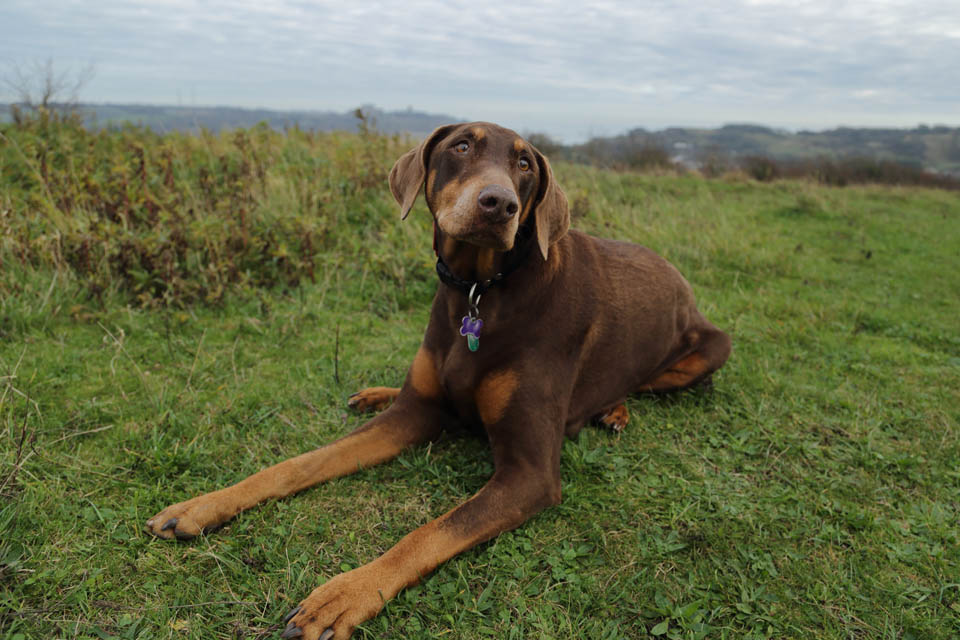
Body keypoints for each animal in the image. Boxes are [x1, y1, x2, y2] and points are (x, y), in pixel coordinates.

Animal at [142, 122, 732, 636]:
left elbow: (430, 532)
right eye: (462, 145)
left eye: (525, 164)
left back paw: (611, 409)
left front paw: (344, 595)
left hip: (713, 345)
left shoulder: (530, 473)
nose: (499, 204)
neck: (478, 290)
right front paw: (202, 505)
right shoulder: (412, 414)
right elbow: (299, 464)